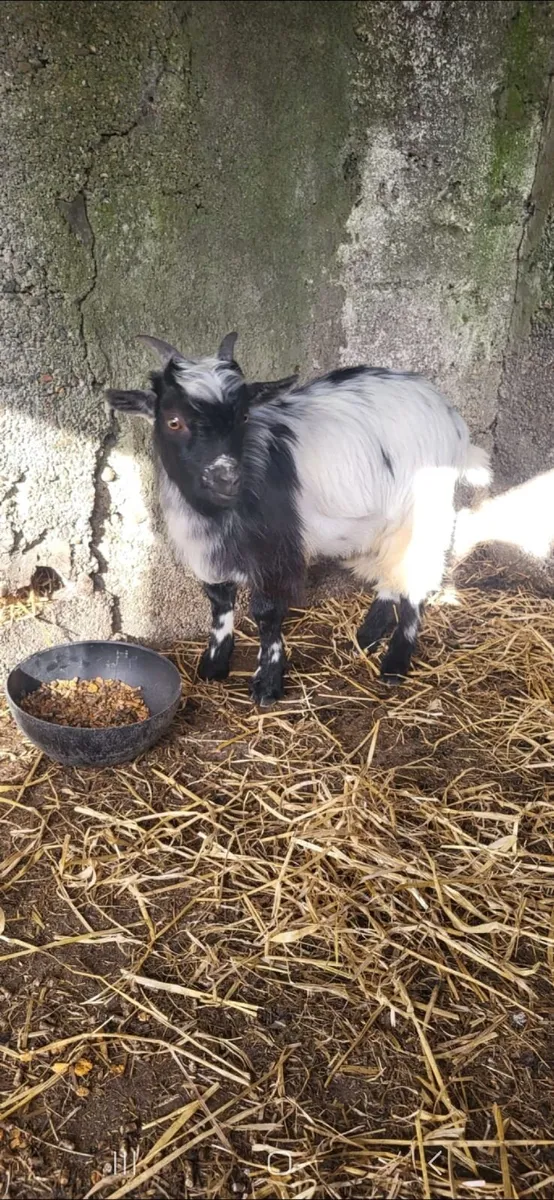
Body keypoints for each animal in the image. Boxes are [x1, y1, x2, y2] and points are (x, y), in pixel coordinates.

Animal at [106, 333, 490, 706]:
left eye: (244, 417)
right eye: (173, 421)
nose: (226, 477)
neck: (217, 513)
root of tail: (450, 416)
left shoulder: (276, 550)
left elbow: (267, 612)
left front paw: (268, 683)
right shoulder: (206, 548)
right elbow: (219, 601)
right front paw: (214, 665)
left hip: (426, 510)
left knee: (417, 579)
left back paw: (395, 662)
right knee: (392, 572)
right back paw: (366, 635)